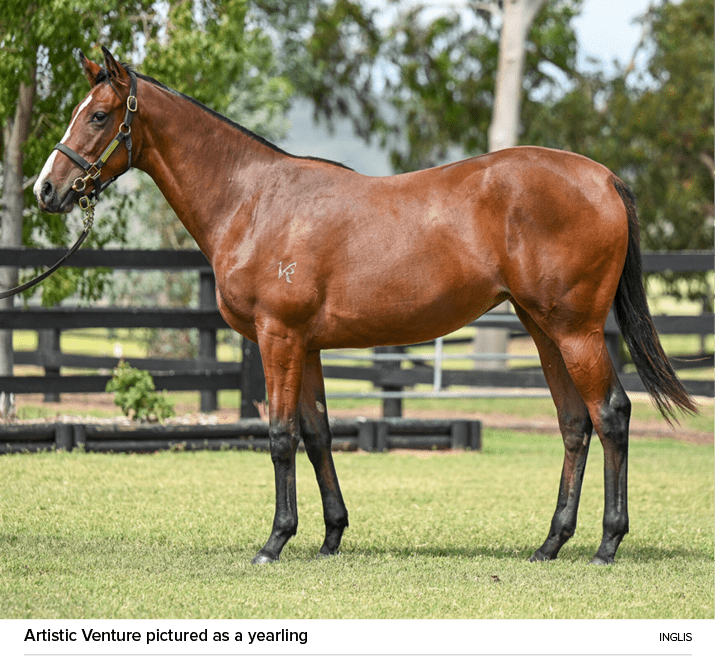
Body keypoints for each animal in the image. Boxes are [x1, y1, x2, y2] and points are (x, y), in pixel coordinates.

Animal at [33, 50, 692, 564]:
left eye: (98, 115)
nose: (46, 189)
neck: (254, 199)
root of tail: (604, 178)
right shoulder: (306, 345)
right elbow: (318, 433)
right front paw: (330, 537)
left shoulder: (277, 337)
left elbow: (279, 434)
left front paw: (274, 542)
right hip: (542, 328)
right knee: (575, 423)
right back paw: (551, 543)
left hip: (575, 329)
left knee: (610, 414)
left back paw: (607, 544)